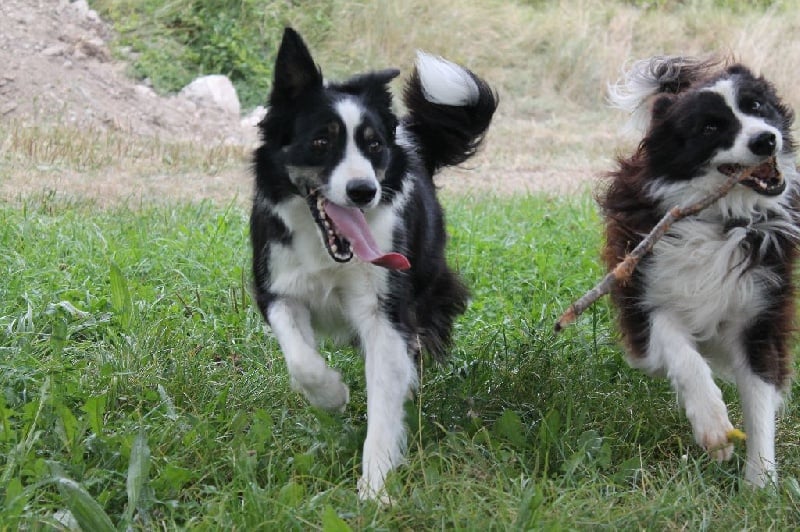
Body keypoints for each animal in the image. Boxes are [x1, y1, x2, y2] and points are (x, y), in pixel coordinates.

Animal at [249, 28, 496, 500]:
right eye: (321, 142)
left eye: (373, 145)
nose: (363, 191)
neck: (328, 248)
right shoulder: (275, 286)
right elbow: (301, 358)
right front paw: (331, 395)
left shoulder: (386, 309)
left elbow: (384, 393)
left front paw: (375, 490)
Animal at [602, 56, 798, 486]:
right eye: (709, 127)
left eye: (756, 106)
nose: (765, 140)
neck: (721, 219)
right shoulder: (643, 292)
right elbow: (678, 347)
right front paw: (712, 425)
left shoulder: (760, 308)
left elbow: (760, 394)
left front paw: (760, 484)